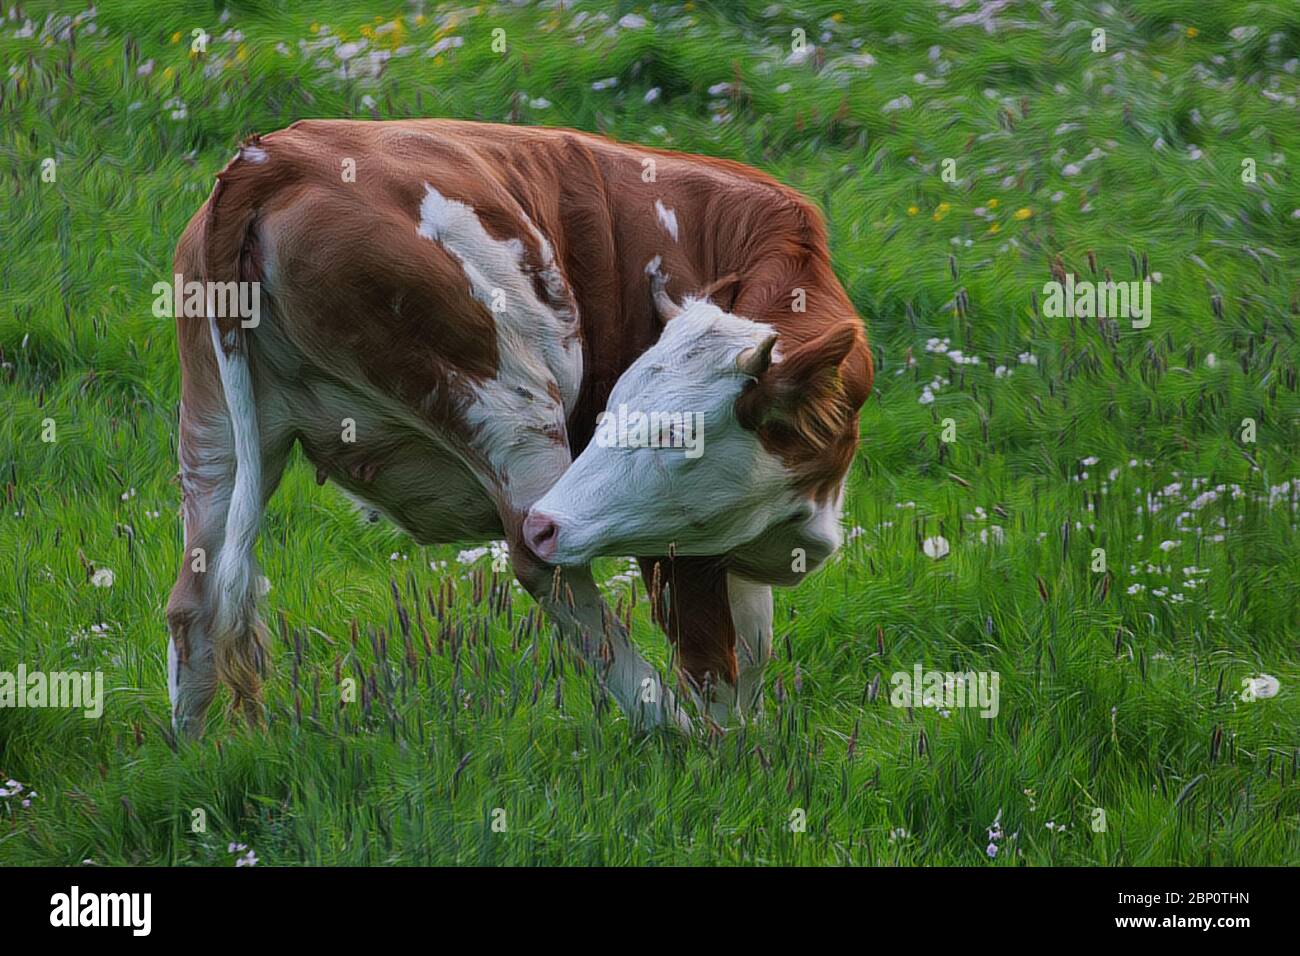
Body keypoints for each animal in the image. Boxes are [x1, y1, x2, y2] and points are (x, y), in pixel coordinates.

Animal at [167, 119, 872, 738]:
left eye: (675, 436)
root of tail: (273, 158)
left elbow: (753, 651)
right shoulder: (679, 545)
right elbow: (715, 667)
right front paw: (727, 759)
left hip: (216, 436)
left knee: (194, 603)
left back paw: (193, 759)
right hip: (510, 405)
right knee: (545, 570)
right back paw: (670, 729)